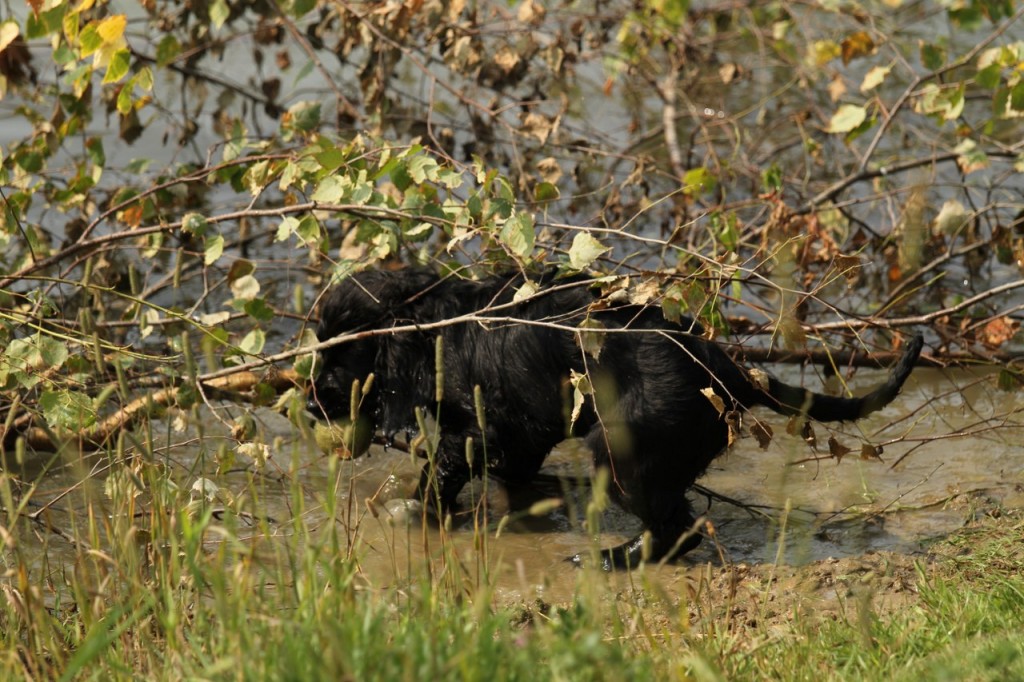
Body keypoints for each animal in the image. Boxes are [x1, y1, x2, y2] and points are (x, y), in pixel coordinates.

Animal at [307, 268, 925, 565]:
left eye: (337, 357)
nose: (309, 401)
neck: (436, 325)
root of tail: (725, 366)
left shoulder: (477, 430)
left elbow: (443, 470)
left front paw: (418, 512)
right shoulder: (520, 434)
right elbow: (513, 469)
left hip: (622, 452)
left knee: (678, 528)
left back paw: (607, 560)